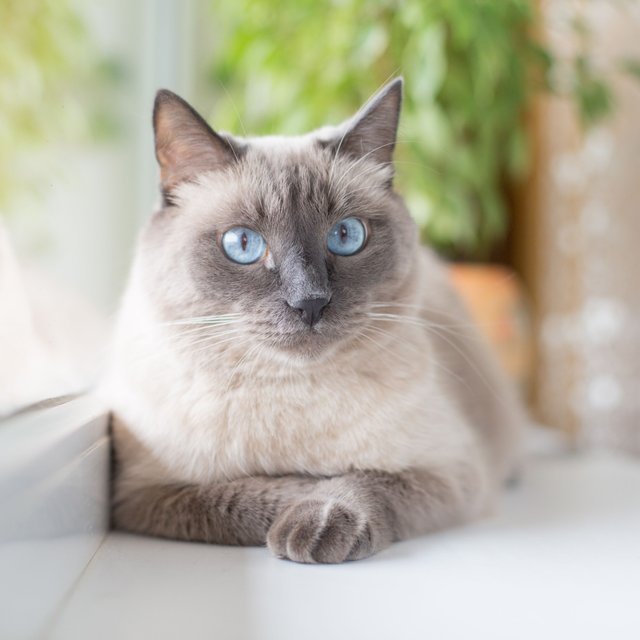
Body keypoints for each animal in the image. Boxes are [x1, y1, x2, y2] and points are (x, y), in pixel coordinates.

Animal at [105, 80, 524, 564]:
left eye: (345, 236)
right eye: (243, 244)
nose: (309, 302)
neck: (288, 390)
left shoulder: (450, 471)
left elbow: (361, 478)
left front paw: (317, 521)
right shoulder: (144, 495)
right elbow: (249, 493)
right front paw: (299, 500)